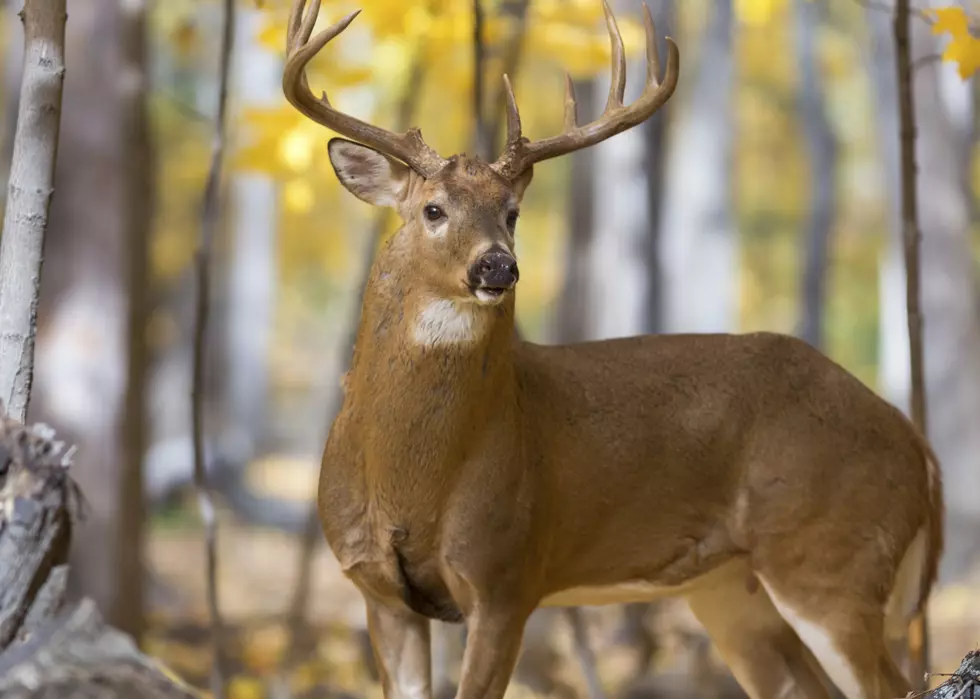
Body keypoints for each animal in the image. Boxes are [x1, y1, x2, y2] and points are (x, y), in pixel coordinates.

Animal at [282, 2, 944, 699]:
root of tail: (917, 444)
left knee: (890, 679)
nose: (498, 266)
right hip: (731, 590)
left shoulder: (508, 575)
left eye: (513, 212)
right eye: (433, 209)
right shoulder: (378, 591)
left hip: (830, 557)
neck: (410, 480)